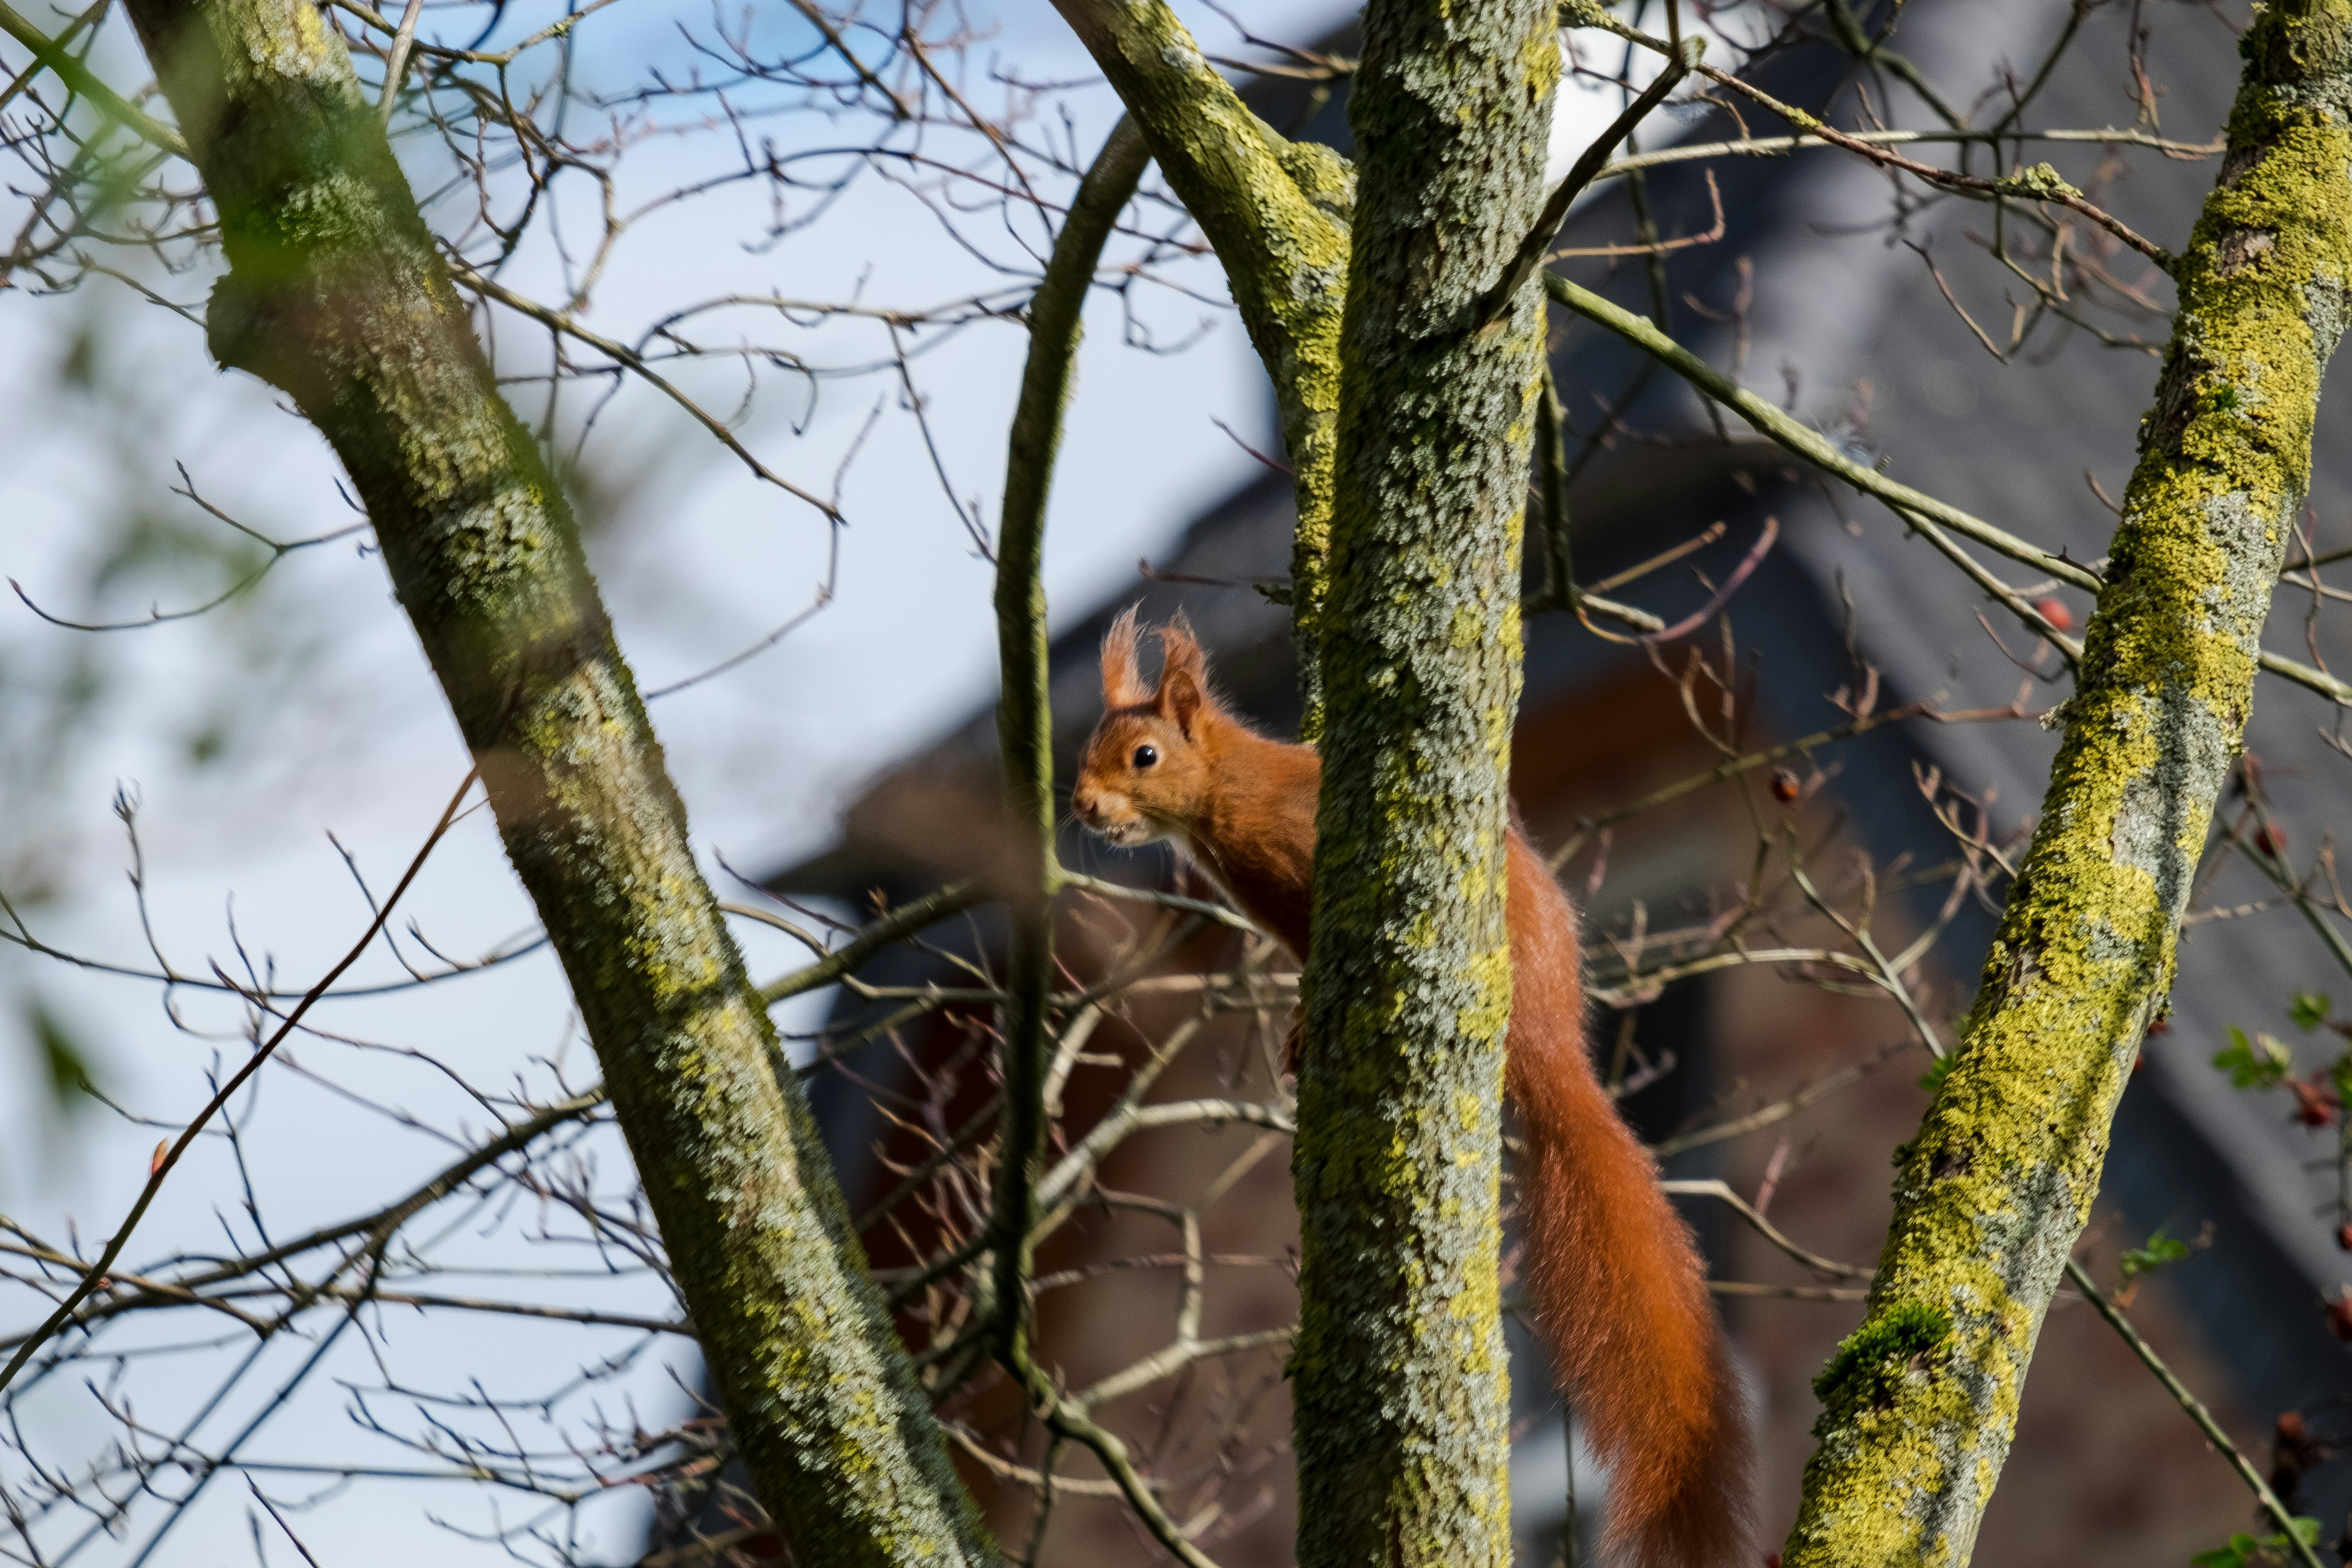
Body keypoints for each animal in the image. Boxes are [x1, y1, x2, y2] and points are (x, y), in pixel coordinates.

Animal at [1069, 609, 1754, 1568]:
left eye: (1143, 756)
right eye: (1087, 750)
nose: (1083, 806)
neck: (1227, 796)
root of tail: (1551, 1039)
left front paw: (1300, 1021)